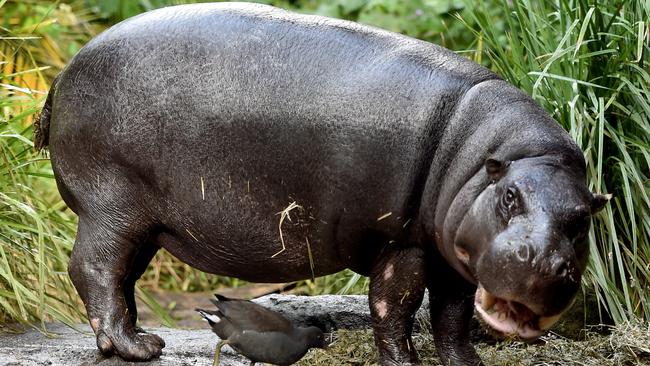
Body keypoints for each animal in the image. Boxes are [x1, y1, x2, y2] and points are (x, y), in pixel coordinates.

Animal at [35, 3, 608, 366]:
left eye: (584, 218)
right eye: (510, 196)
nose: (543, 263)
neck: (494, 156)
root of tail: (61, 73)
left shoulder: (454, 253)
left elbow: (453, 314)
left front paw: (466, 364)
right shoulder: (401, 240)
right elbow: (395, 305)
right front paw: (404, 362)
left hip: (145, 221)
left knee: (122, 277)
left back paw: (133, 339)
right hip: (110, 206)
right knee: (94, 269)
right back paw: (138, 348)